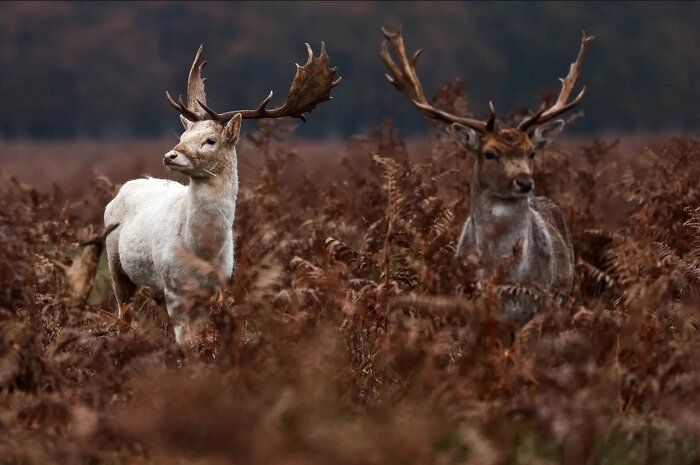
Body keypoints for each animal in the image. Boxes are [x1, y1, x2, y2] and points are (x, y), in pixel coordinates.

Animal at [104, 43, 342, 342]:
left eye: (210, 140)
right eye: (183, 137)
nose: (170, 155)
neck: (201, 252)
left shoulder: (219, 286)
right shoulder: (172, 285)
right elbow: (185, 342)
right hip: (115, 265)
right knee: (123, 316)